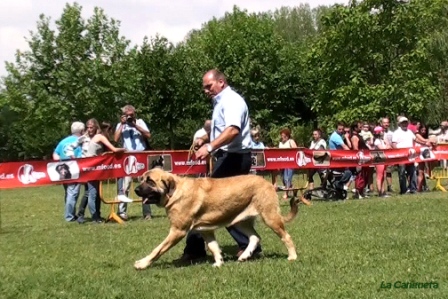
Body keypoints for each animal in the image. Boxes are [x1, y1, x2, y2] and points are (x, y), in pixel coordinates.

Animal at [133, 169, 308, 270]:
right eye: (142, 179)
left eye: (150, 181)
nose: (135, 190)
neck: (175, 192)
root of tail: (268, 183)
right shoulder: (206, 230)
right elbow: (213, 247)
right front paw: (218, 263)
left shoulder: (177, 231)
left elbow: (158, 249)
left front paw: (142, 263)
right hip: (240, 221)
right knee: (255, 237)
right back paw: (244, 256)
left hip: (270, 217)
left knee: (286, 236)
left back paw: (292, 256)